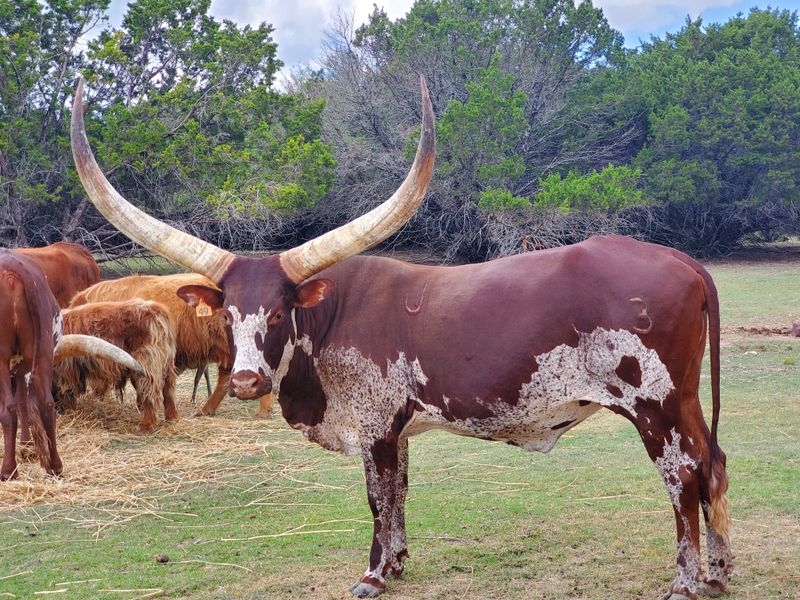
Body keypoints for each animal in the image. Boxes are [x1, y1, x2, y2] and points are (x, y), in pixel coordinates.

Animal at [56, 300, 177, 433]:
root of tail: (158, 310)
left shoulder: (66, 371)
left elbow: (66, 392)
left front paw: (69, 412)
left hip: (146, 363)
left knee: (151, 393)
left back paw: (146, 425)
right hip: (167, 364)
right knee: (169, 390)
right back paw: (172, 419)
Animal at [72, 76, 732, 600]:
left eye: (282, 312)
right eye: (228, 313)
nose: (246, 381)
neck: (327, 321)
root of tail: (681, 260)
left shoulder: (375, 424)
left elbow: (378, 496)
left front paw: (371, 575)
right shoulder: (397, 428)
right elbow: (402, 493)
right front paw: (397, 562)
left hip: (655, 403)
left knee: (682, 476)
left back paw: (685, 582)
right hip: (685, 400)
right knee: (714, 463)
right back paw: (720, 574)